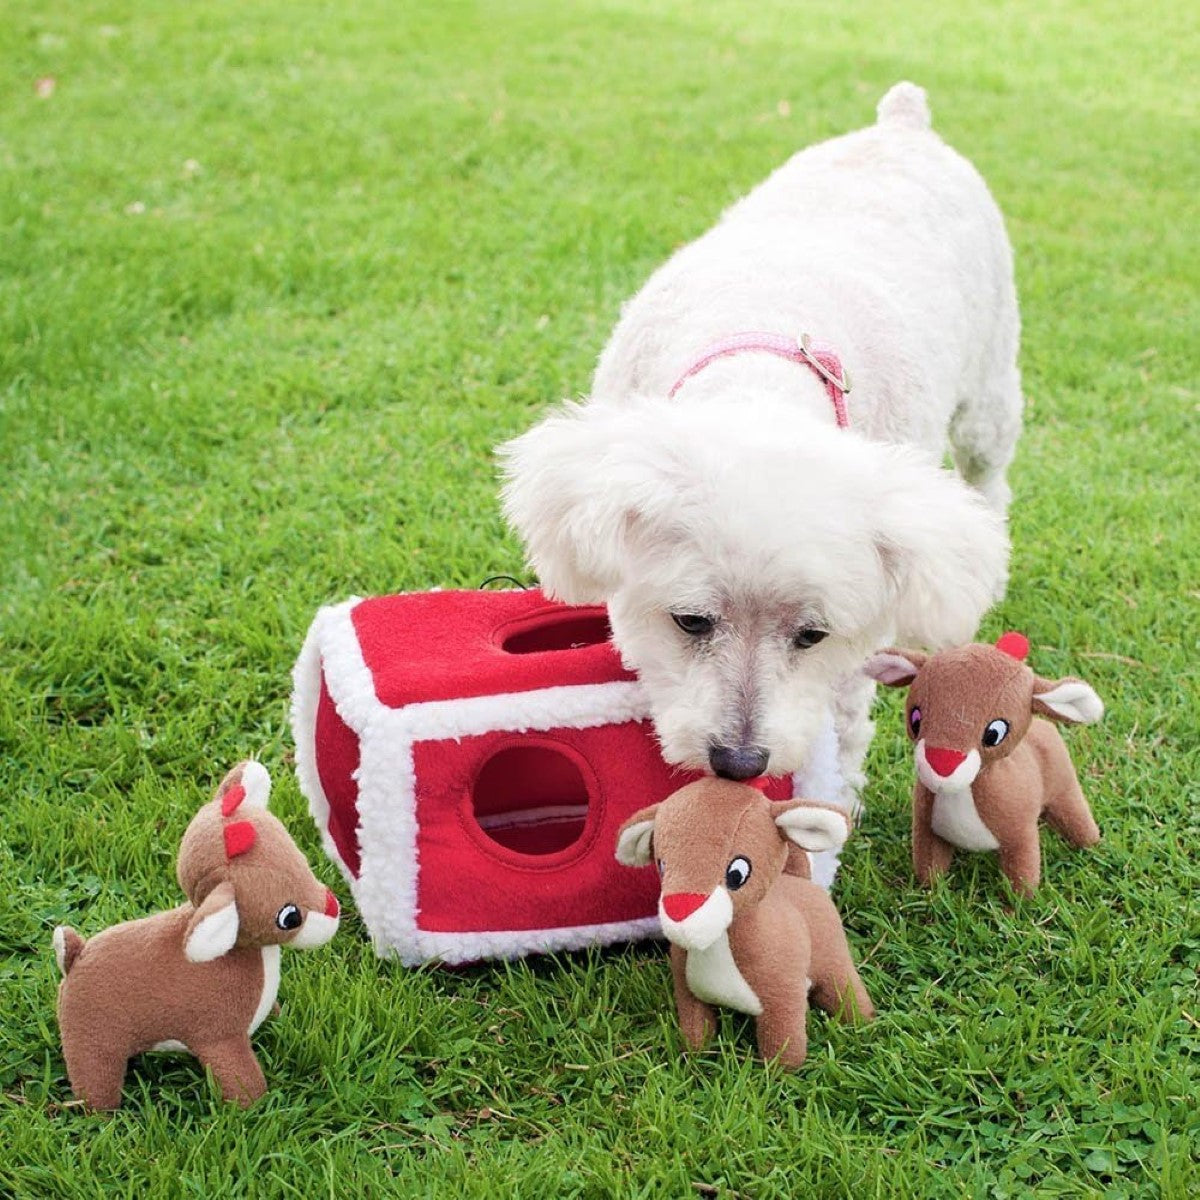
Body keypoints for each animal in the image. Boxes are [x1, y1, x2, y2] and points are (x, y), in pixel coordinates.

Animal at [501, 87, 1017, 806]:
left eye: (812, 635)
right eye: (690, 622)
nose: (739, 762)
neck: (759, 373)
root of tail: (903, 124)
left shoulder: (852, 650)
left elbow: (843, 725)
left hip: (989, 387)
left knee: (987, 477)